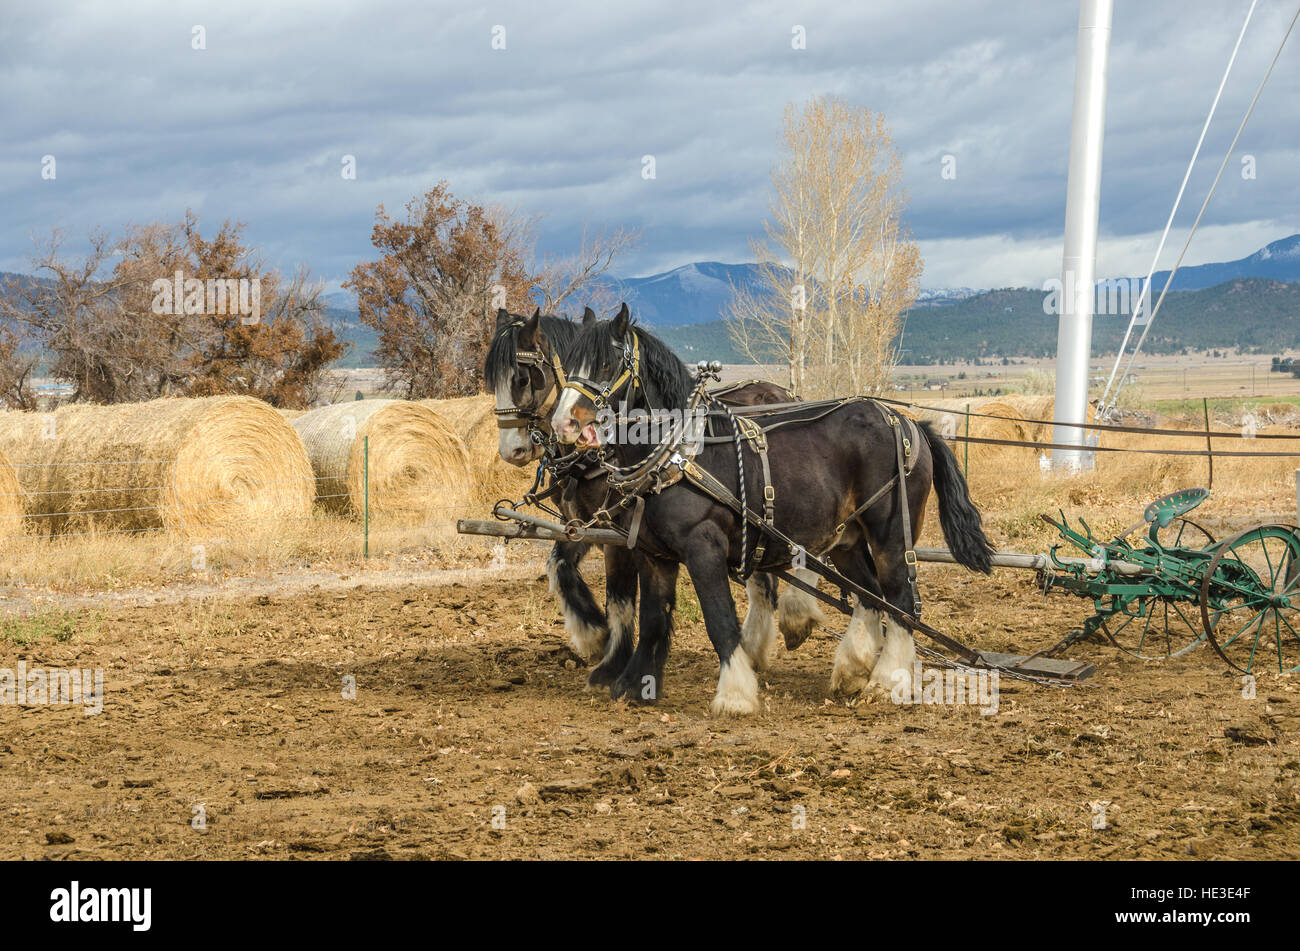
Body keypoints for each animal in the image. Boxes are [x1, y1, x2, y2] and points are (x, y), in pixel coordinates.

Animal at [483, 311, 816, 691]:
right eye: (492, 383)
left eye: (524, 378)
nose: (511, 450)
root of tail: (785, 392)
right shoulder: (582, 525)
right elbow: (559, 568)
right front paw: (594, 635)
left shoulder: (619, 535)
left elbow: (620, 596)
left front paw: (612, 659)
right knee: (766, 574)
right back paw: (757, 645)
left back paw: (795, 619)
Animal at [551, 304, 993, 711]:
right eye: (568, 364)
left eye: (606, 363)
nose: (562, 424)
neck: (679, 454)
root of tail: (907, 421)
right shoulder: (653, 553)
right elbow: (653, 618)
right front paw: (635, 685)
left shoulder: (703, 547)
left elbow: (719, 620)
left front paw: (735, 695)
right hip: (846, 539)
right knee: (869, 595)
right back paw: (850, 670)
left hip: (891, 533)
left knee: (900, 599)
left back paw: (887, 682)